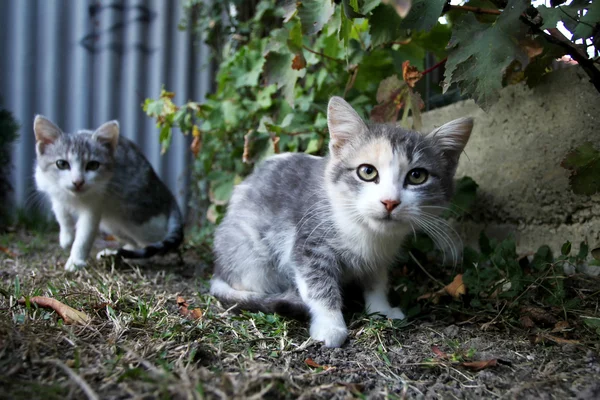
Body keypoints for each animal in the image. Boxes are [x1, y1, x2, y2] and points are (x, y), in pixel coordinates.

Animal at [32, 115, 182, 272]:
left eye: (93, 165)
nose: (78, 182)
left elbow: (85, 234)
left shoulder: (96, 203)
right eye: (61, 164)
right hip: (112, 222)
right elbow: (61, 212)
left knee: (152, 239)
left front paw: (76, 261)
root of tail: (167, 194)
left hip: (137, 216)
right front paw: (66, 236)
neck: (74, 197)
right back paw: (115, 253)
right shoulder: (52, 189)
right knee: (134, 241)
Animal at [212, 97, 474, 346]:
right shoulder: (308, 244)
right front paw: (331, 326)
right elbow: (319, 286)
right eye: (367, 171)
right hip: (251, 255)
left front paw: (381, 309)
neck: (366, 231)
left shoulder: (379, 258)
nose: (390, 202)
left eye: (417, 176)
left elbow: (376, 281)